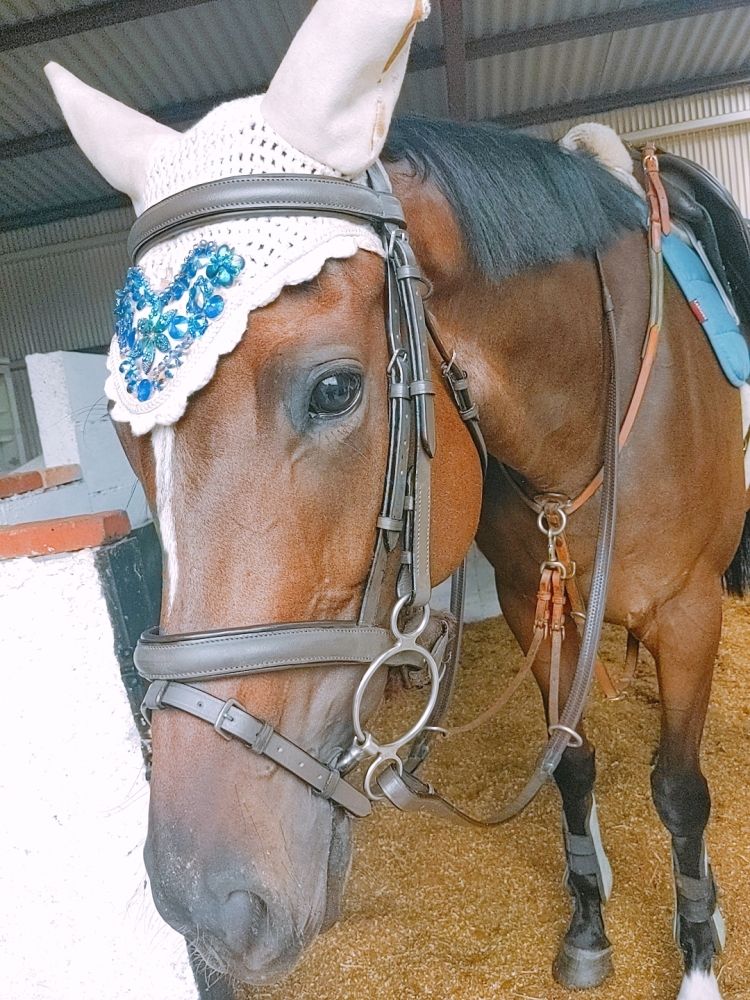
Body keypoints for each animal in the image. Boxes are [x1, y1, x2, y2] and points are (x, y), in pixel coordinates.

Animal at [45, 3, 749, 996]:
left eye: (335, 389)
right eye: (120, 427)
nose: (203, 896)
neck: (591, 411)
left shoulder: (690, 613)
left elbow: (680, 791)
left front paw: (697, 955)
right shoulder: (541, 610)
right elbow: (570, 764)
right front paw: (587, 919)